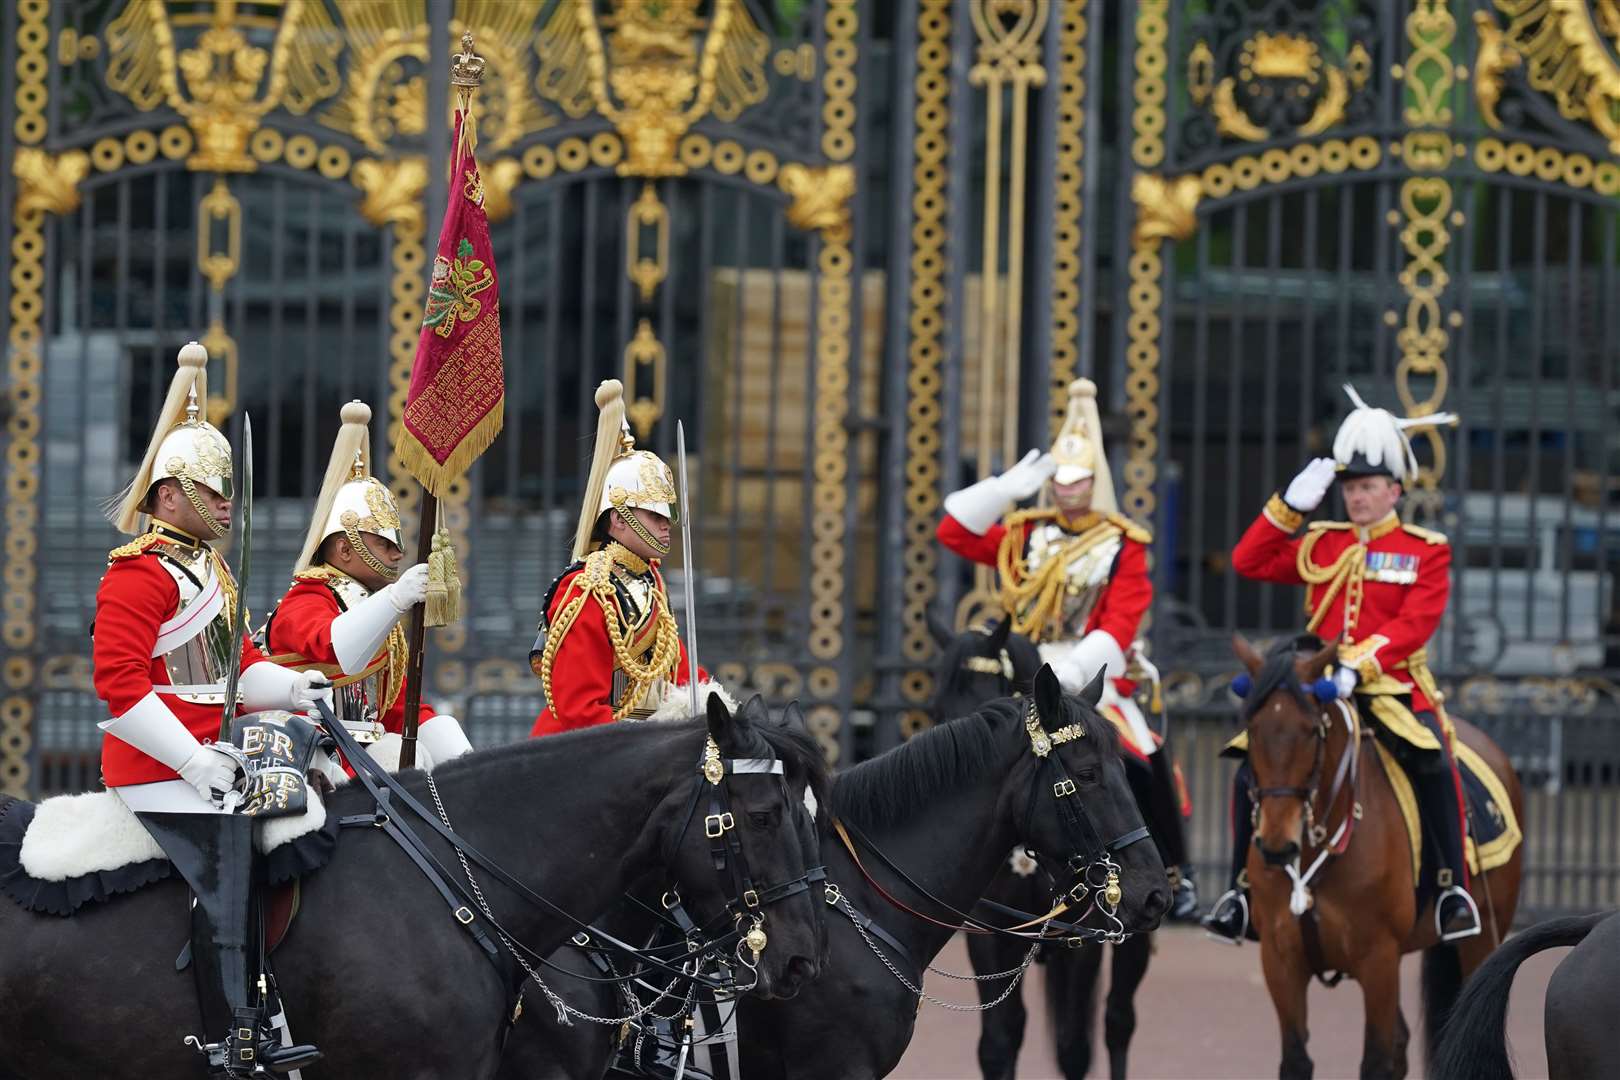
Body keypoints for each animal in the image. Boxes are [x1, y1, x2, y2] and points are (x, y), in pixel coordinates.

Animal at [939, 615, 1179, 1080]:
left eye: (1102, 772)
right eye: (939, 705)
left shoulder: (1087, 939)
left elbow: (1074, 1048)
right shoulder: (990, 934)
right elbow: (999, 1041)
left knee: (1117, 1022)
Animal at [1231, 634, 1522, 1080]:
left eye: (1312, 731)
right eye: (1252, 728)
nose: (1277, 847)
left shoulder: (1378, 958)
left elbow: (1377, 1060)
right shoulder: (1280, 960)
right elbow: (1297, 1060)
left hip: (1483, 935)